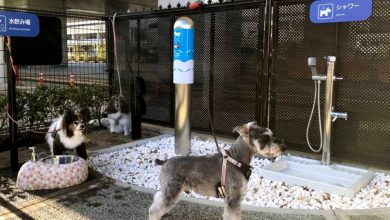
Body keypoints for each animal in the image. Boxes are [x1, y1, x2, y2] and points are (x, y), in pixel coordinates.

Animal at [149, 122, 284, 220]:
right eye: (265, 137)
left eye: (271, 135)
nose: (283, 147)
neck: (237, 158)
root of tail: (165, 162)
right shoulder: (234, 198)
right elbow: (233, 216)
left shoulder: (229, 199)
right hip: (172, 191)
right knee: (154, 209)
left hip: (169, 190)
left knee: (158, 197)